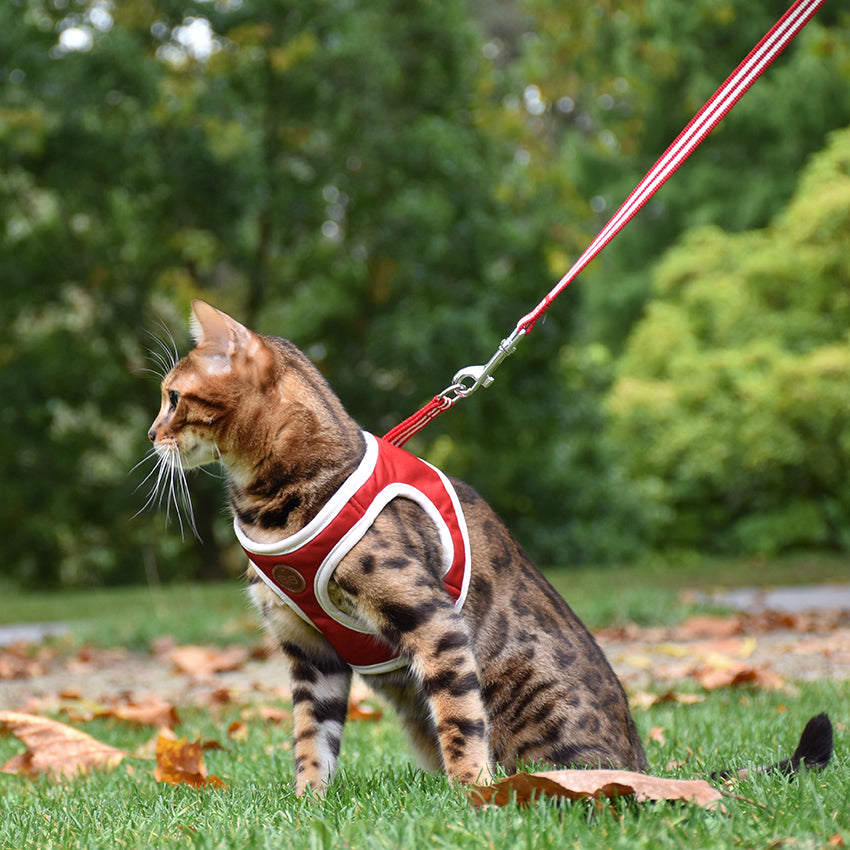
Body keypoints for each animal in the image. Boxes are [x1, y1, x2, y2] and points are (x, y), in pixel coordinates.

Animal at [146, 302, 828, 792]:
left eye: (174, 398)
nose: (151, 434)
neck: (269, 506)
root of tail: (642, 762)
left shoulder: (429, 617)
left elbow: (458, 717)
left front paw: (471, 792)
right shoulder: (312, 652)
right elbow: (311, 738)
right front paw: (306, 803)